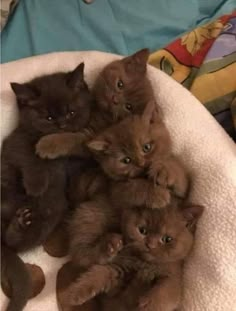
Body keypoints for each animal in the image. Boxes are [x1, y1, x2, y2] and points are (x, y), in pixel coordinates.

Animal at [67, 201, 205, 310]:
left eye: (167, 239)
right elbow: (99, 273)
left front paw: (147, 306)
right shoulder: (120, 270)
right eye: (142, 230)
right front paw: (75, 293)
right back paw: (111, 244)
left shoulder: (174, 279)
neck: (145, 265)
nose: (150, 245)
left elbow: (163, 295)